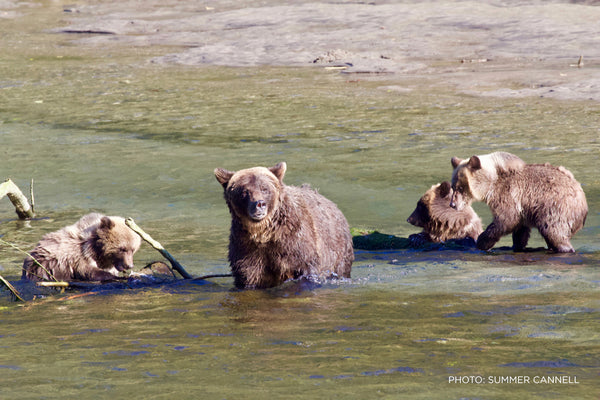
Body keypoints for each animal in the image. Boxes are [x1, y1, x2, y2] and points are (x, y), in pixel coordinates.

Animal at [214, 161, 354, 290]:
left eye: (264, 189)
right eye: (244, 192)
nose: (259, 204)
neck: (264, 234)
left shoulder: (294, 242)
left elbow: (305, 268)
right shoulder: (246, 247)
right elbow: (248, 274)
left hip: (339, 251)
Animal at [450, 152, 584, 252]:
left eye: (460, 188)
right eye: (453, 186)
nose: (453, 204)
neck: (491, 184)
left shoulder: (508, 194)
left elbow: (507, 219)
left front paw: (482, 241)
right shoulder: (522, 207)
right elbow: (520, 229)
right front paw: (516, 245)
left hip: (554, 207)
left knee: (554, 231)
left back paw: (565, 248)